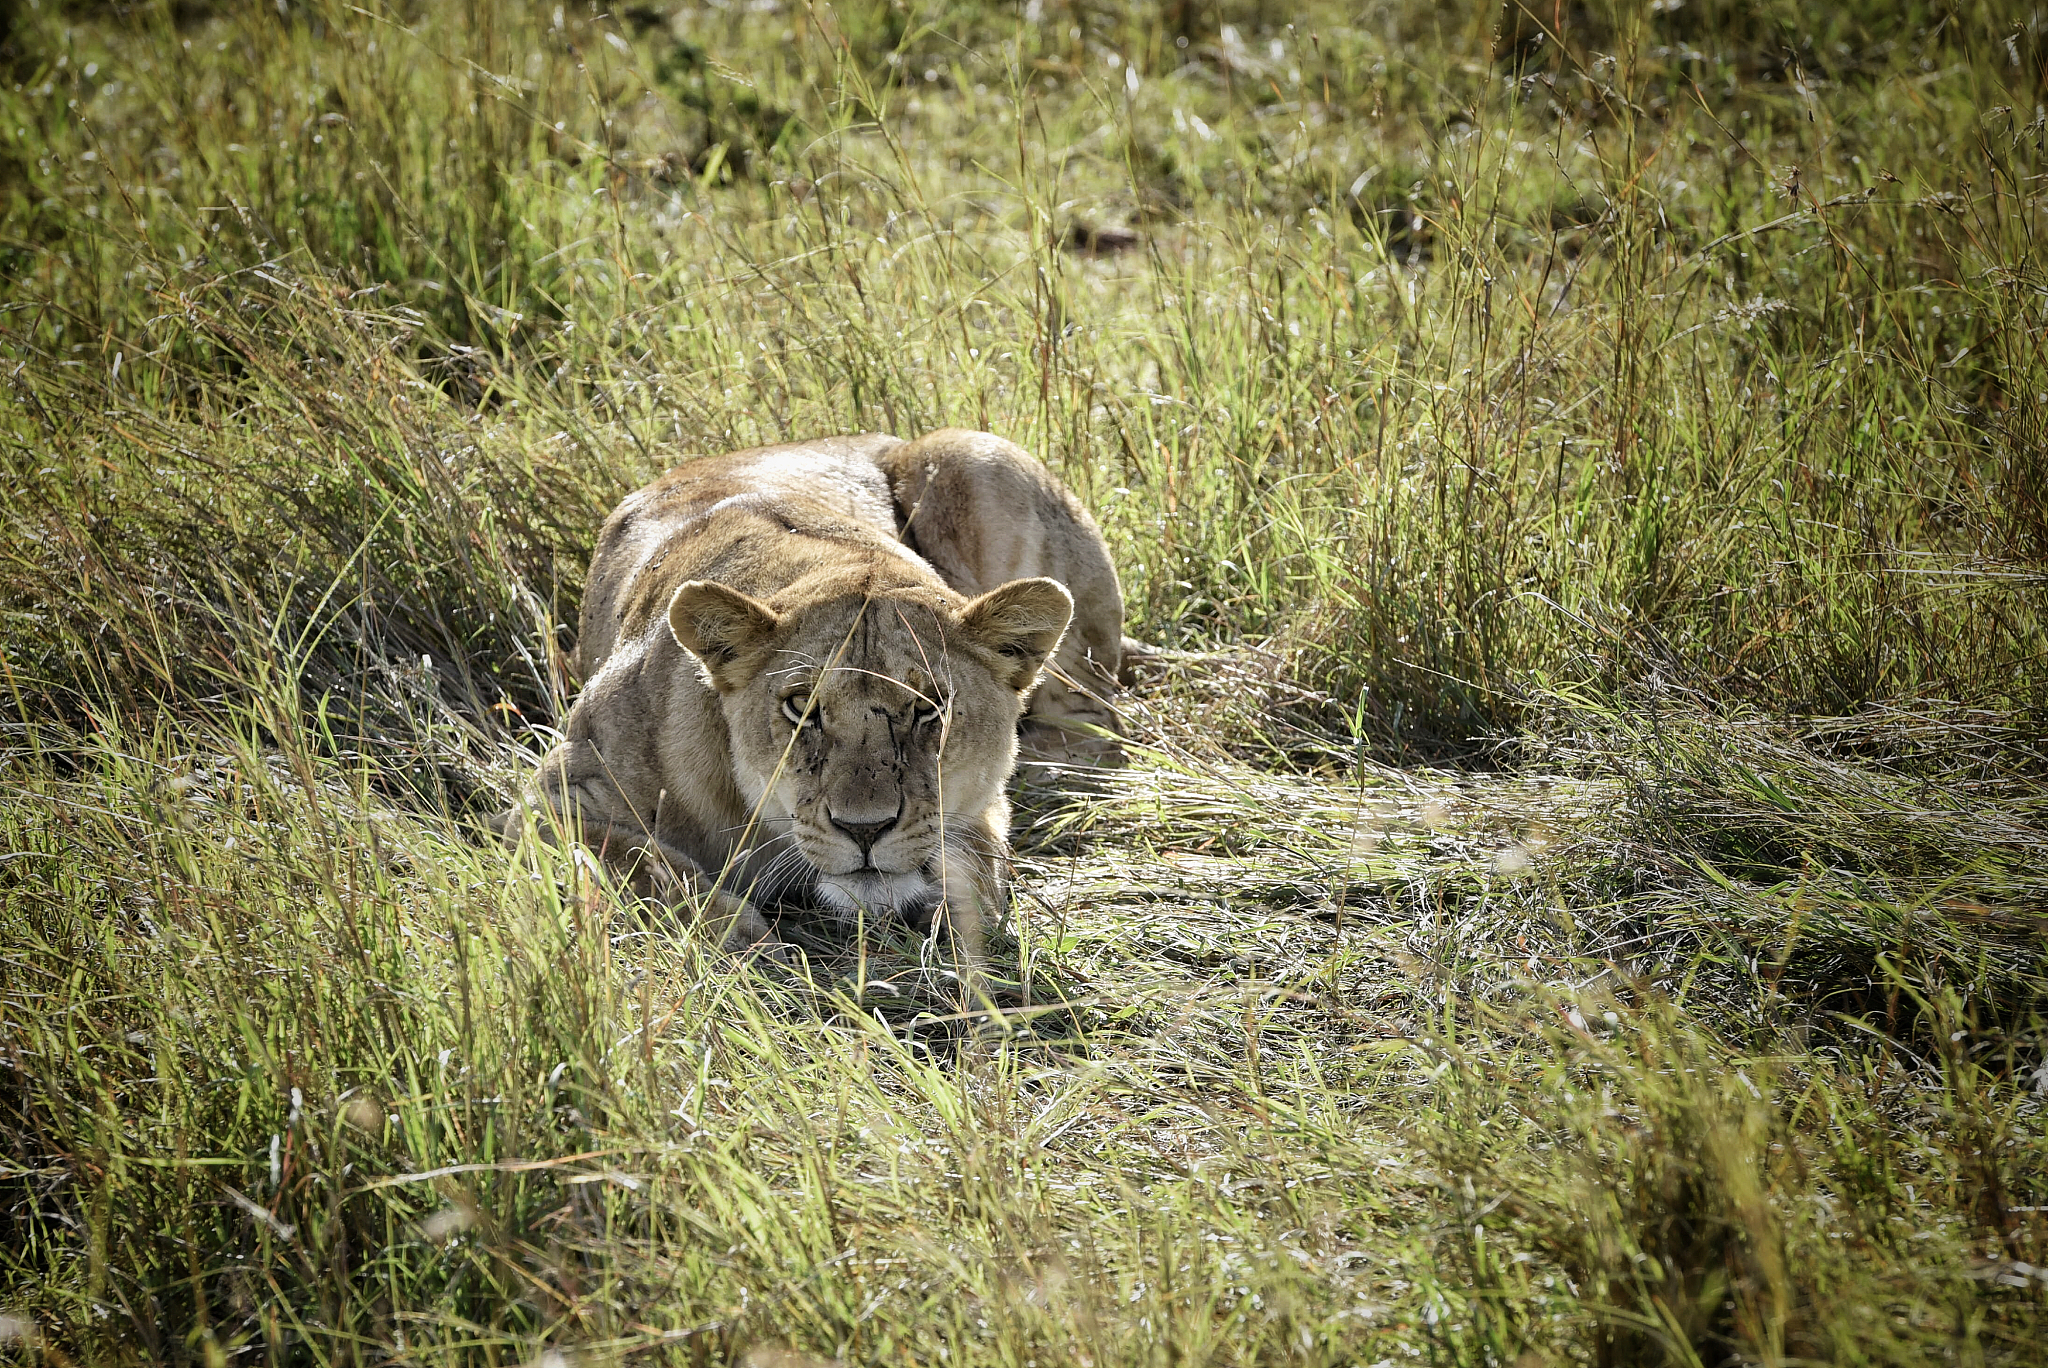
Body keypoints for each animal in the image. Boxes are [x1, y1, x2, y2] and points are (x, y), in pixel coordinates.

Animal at [506, 428, 1127, 952]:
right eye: (802, 706)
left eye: (928, 708)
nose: (865, 830)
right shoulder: (543, 804)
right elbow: (641, 862)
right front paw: (739, 936)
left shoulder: (981, 807)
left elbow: (975, 853)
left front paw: (957, 920)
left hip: (975, 452)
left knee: (1098, 728)